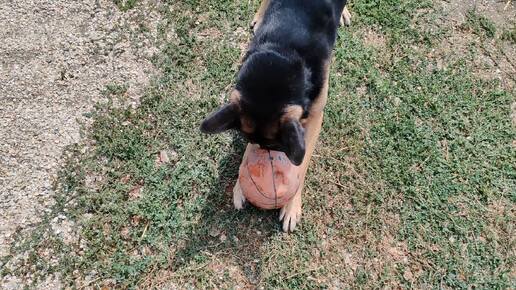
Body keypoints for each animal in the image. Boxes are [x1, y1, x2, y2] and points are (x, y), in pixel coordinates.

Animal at [202, 0, 350, 231]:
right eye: (259, 143)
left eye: (275, 145)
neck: (285, 50)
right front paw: (241, 184)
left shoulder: (315, 118)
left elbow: (302, 164)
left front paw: (291, 205)